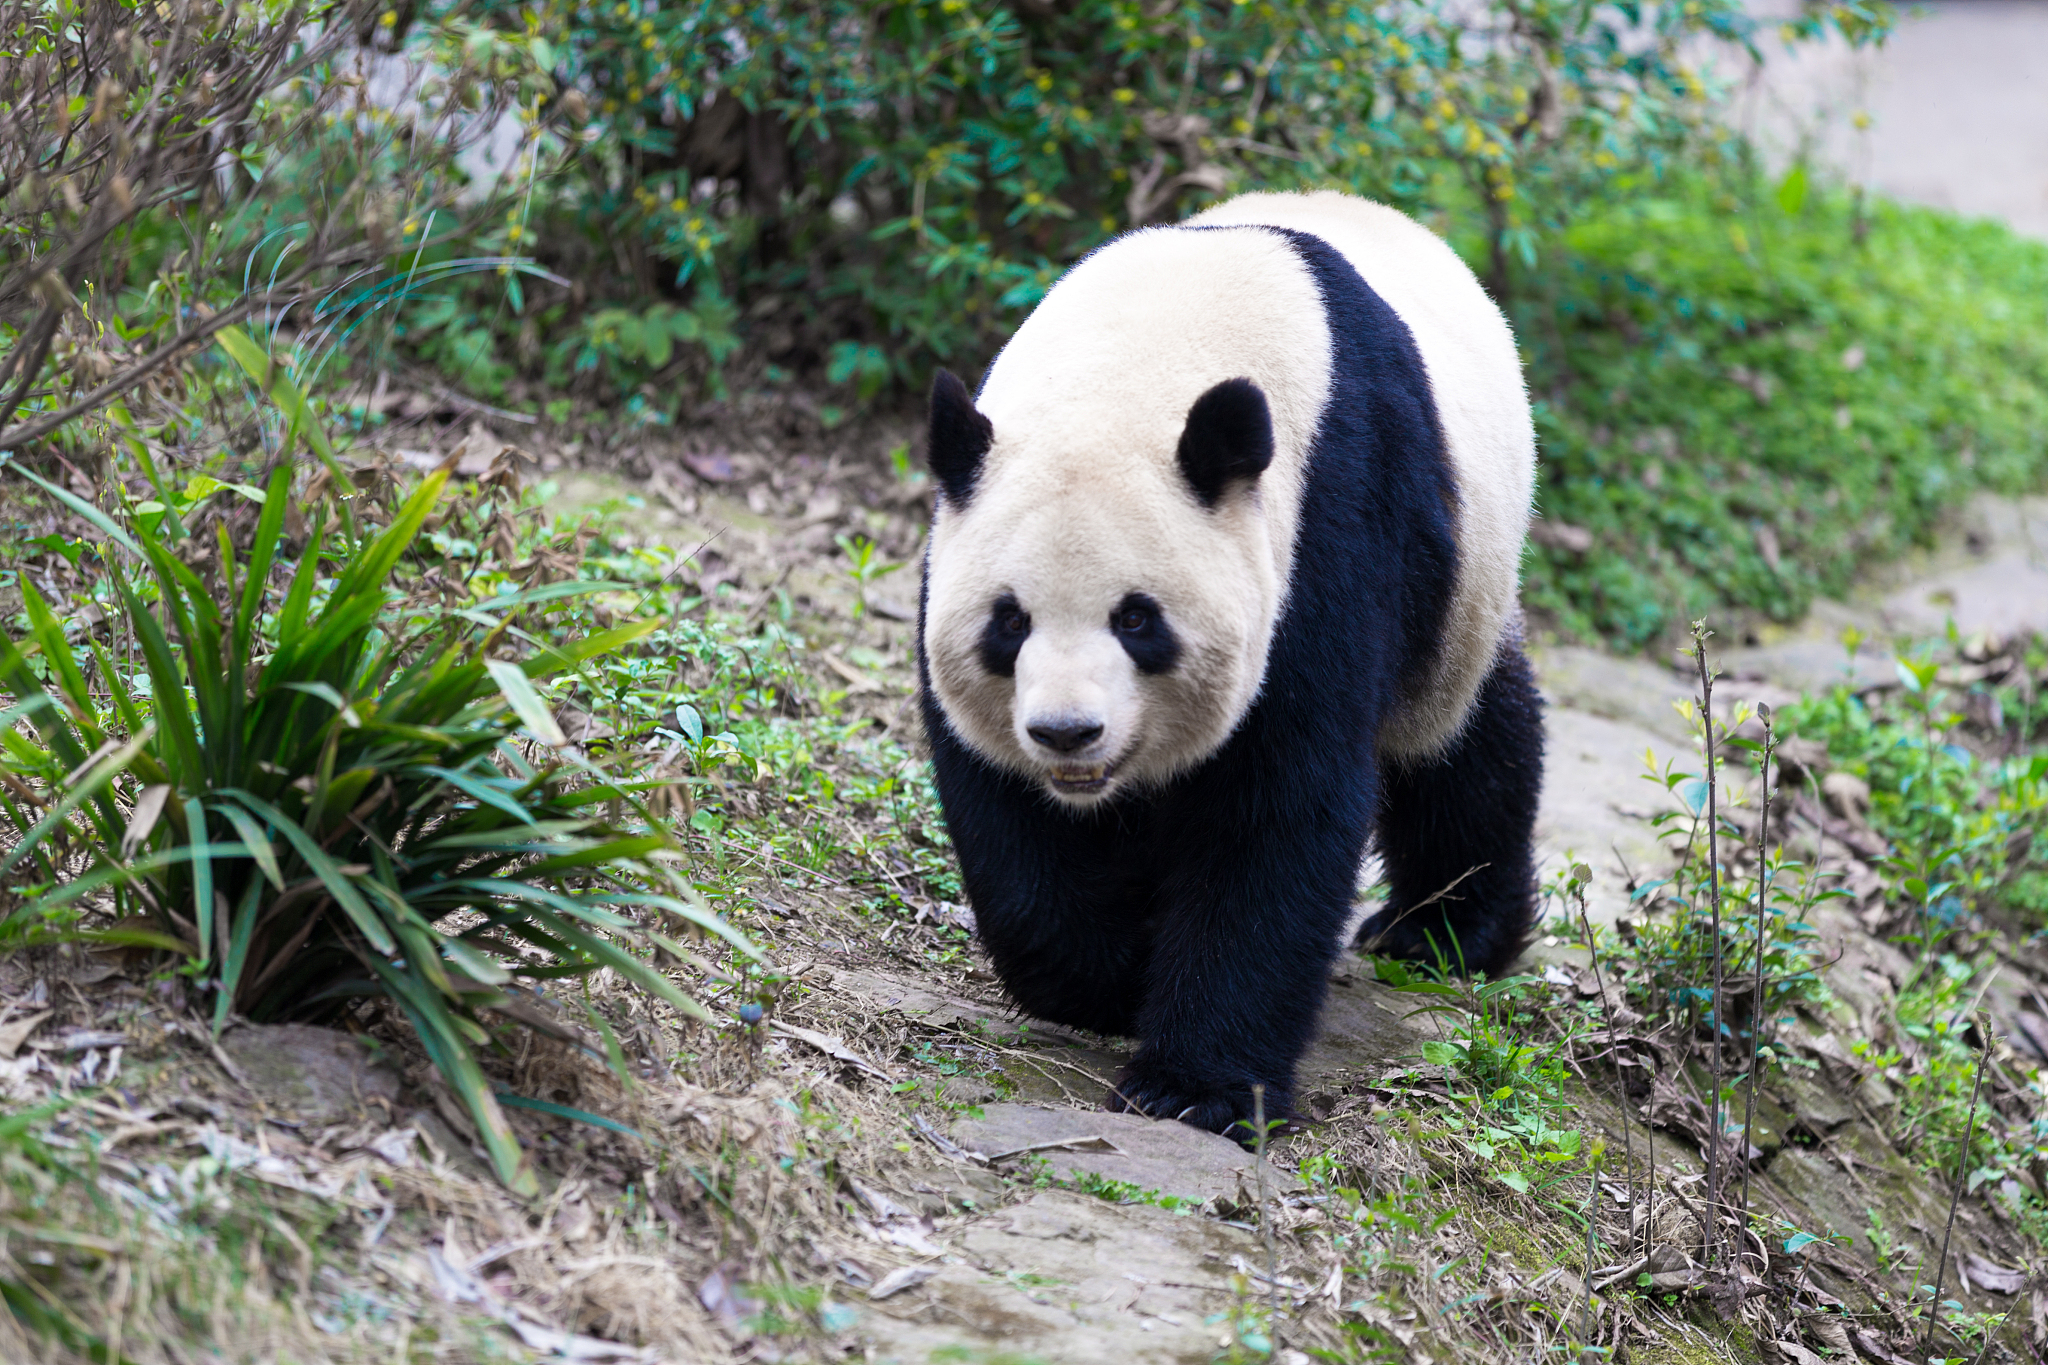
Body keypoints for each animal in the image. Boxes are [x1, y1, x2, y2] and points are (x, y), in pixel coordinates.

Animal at [913, 187, 1540, 1137]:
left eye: (1138, 619)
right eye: (1009, 623)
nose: (1068, 733)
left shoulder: (1328, 524)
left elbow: (1278, 804)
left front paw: (1191, 1086)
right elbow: (1005, 808)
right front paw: (1112, 975)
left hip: (1464, 583)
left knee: (1465, 744)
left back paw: (1440, 933)